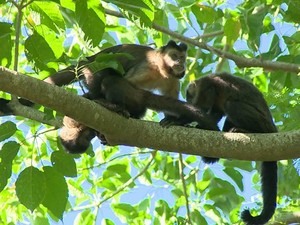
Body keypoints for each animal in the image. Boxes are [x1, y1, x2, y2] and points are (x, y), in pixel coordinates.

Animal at [61, 67, 220, 154]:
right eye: (88, 137)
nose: (90, 136)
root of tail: (141, 93)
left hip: (129, 92)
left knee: (109, 80)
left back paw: (115, 106)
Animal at [186, 72, 278, 225]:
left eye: (189, 96)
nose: (189, 101)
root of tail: (273, 129)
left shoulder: (206, 86)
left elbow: (203, 108)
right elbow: (213, 115)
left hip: (263, 123)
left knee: (231, 105)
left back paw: (246, 130)